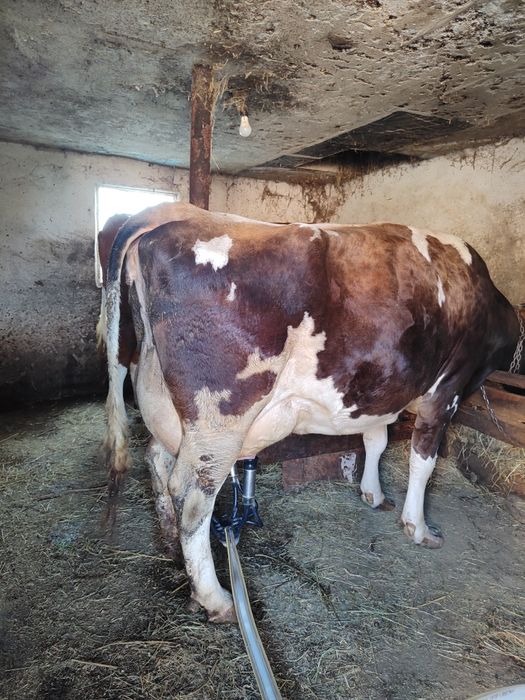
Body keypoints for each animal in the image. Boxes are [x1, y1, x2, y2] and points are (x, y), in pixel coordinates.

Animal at [102, 202, 524, 623]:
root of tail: (165, 219)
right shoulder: (447, 389)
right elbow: (423, 463)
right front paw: (418, 527)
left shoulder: (380, 392)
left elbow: (375, 440)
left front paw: (373, 494)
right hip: (219, 418)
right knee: (191, 495)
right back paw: (217, 599)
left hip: (163, 401)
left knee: (157, 460)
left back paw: (170, 541)